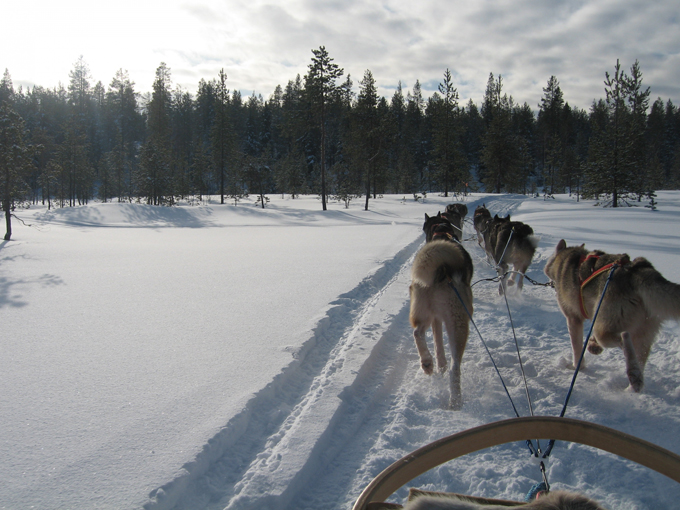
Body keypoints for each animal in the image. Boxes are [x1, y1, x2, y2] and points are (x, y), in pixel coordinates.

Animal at [410, 239, 472, 410]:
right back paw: (455, 402)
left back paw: (427, 362)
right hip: (458, 322)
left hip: (424, 313)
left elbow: (438, 346)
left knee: (417, 333)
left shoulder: (435, 318)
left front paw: (439, 365)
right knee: (455, 367)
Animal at [544, 241, 680, 392]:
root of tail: (636, 271)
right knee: (639, 359)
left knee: (624, 340)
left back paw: (632, 372)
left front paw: (576, 367)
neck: (566, 259)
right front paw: (593, 345)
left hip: (604, 331)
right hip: (642, 336)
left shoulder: (573, 319)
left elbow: (577, 350)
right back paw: (633, 383)